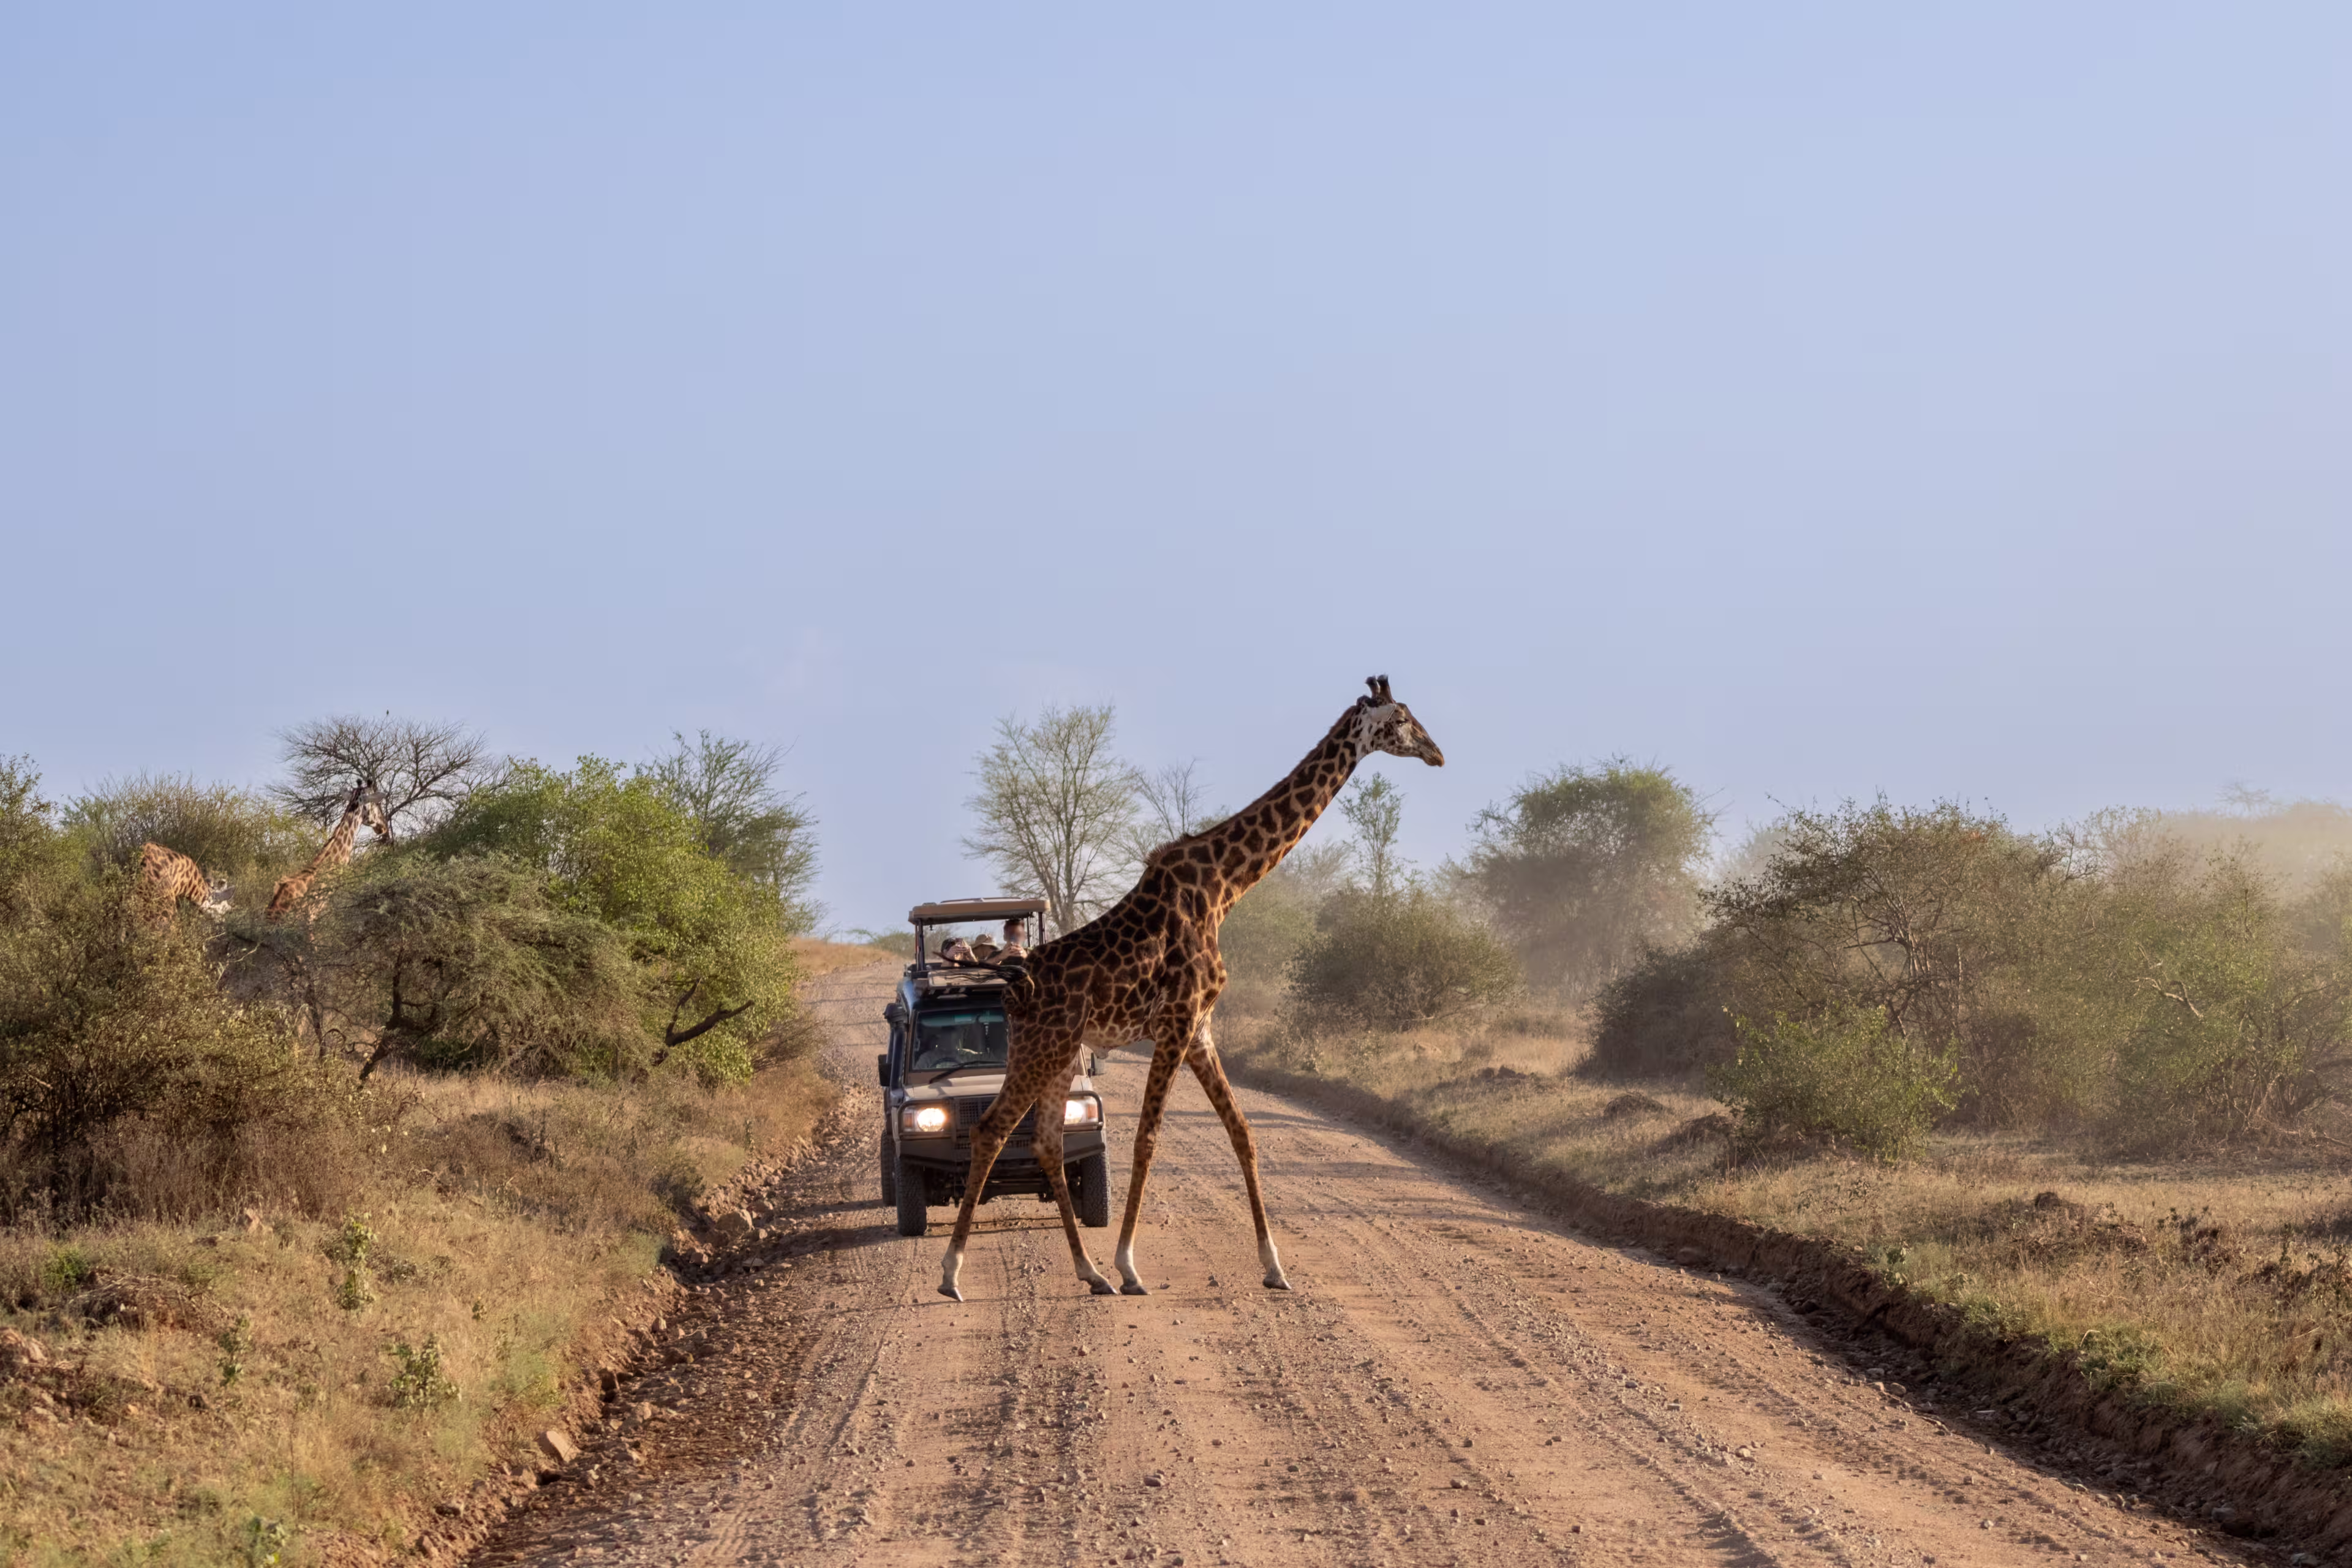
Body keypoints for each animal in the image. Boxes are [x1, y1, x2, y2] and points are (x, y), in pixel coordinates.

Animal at [938, 675, 1445, 1302]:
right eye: (1400, 720)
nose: (1437, 753)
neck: (1225, 886)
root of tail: (1014, 990)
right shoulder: (1176, 1020)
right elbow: (1147, 1138)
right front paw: (1132, 1266)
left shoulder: (1201, 1028)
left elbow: (1243, 1132)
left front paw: (1275, 1267)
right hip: (1042, 1048)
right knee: (991, 1130)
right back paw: (953, 1274)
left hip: (1059, 1052)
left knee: (1047, 1143)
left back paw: (1090, 1273)